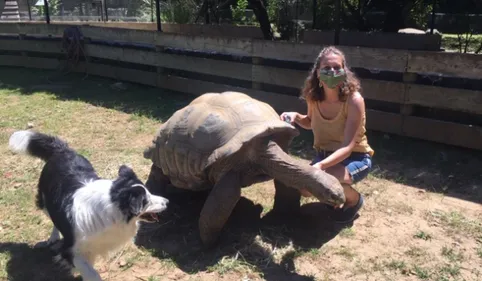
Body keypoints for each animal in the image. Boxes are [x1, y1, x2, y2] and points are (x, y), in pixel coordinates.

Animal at [7, 129, 170, 280]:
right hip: (44, 200)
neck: (112, 205)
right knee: (52, 217)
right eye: (145, 201)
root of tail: (63, 150)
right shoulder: (71, 250)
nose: (167, 202)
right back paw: (53, 237)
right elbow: (91, 273)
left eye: (149, 193)